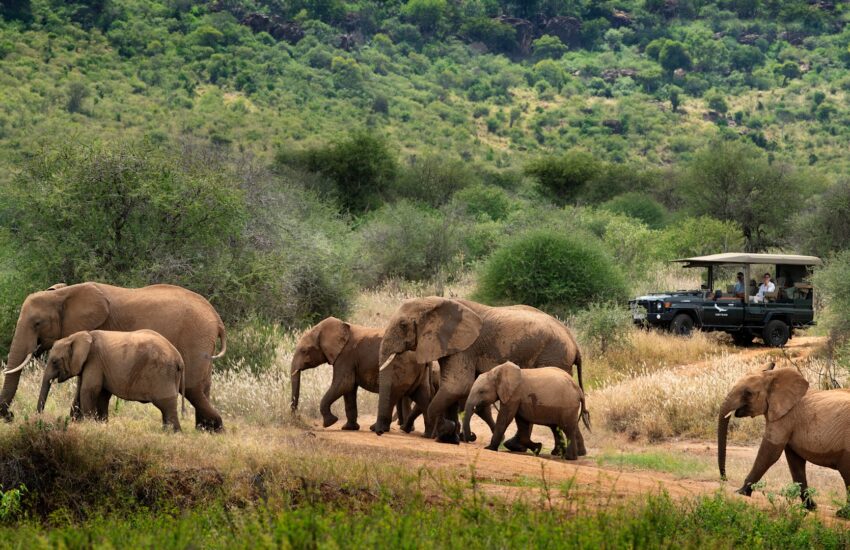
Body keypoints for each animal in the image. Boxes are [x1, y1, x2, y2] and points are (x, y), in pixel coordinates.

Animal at [37, 330, 184, 431]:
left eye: (55, 362)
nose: (39, 416)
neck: (75, 337)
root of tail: (179, 359)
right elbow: (88, 392)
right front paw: (96, 424)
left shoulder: (94, 361)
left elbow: (89, 390)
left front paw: (88, 424)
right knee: (166, 408)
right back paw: (167, 431)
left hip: (163, 374)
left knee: (166, 404)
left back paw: (173, 433)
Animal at [290, 316, 431, 431]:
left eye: (304, 351)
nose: (296, 417)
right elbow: (349, 389)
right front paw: (349, 428)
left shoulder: (345, 357)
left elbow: (344, 384)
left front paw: (330, 423)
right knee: (421, 396)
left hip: (401, 368)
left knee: (392, 394)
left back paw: (377, 429)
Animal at [375, 297, 584, 449]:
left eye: (403, 325)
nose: (379, 432)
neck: (435, 302)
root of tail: (575, 344)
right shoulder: (453, 345)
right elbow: (453, 389)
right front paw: (450, 436)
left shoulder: (465, 347)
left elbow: (457, 385)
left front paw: (445, 431)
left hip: (553, 356)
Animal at [717, 362, 850, 517]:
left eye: (748, 393)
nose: (724, 479)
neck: (773, 377)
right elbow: (795, 462)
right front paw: (810, 507)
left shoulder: (785, 418)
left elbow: (769, 453)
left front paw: (740, 492)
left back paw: (842, 514)